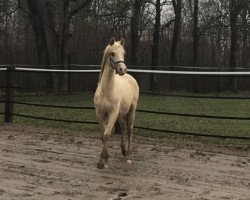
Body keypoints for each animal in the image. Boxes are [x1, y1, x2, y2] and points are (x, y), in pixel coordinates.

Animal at [94, 37, 140, 169]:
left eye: (123, 53)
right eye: (112, 53)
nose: (122, 69)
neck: (106, 91)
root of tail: (130, 78)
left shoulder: (113, 113)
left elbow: (107, 134)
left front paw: (102, 161)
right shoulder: (100, 114)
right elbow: (102, 134)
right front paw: (105, 158)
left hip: (131, 110)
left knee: (129, 128)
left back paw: (128, 156)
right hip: (120, 113)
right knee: (123, 125)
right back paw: (123, 150)